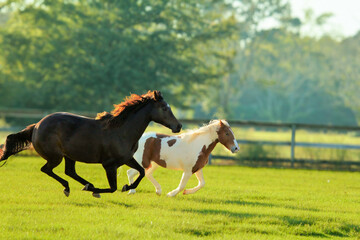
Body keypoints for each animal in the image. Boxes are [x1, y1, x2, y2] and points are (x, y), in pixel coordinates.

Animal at [0, 90, 180, 197]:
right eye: (164, 108)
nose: (178, 126)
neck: (122, 131)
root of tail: (37, 125)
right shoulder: (109, 165)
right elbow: (112, 188)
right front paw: (96, 191)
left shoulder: (127, 159)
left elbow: (141, 171)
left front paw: (126, 187)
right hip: (55, 157)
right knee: (47, 169)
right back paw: (71, 188)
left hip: (69, 156)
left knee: (69, 171)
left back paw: (85, 184)